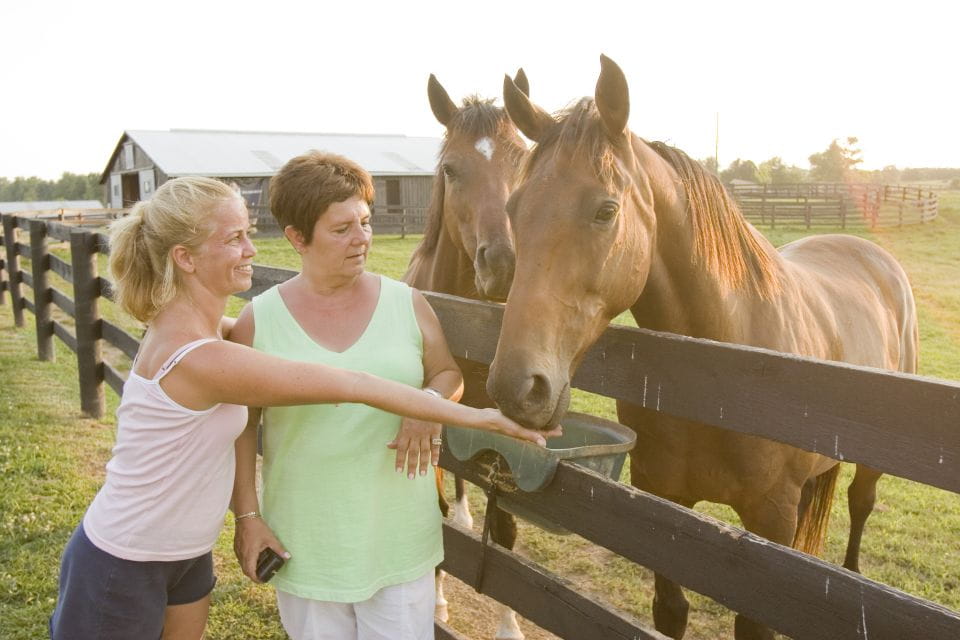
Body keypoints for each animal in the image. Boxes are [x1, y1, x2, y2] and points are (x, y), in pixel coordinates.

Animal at [486, 55, 918, 640]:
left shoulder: (770, 524)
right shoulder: (665, 506)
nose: (516, 387)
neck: (722, 372)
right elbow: (671, 611)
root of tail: (872, 252)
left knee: (859, 511)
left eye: (605, 211)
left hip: (868, 471)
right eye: (515, 206)